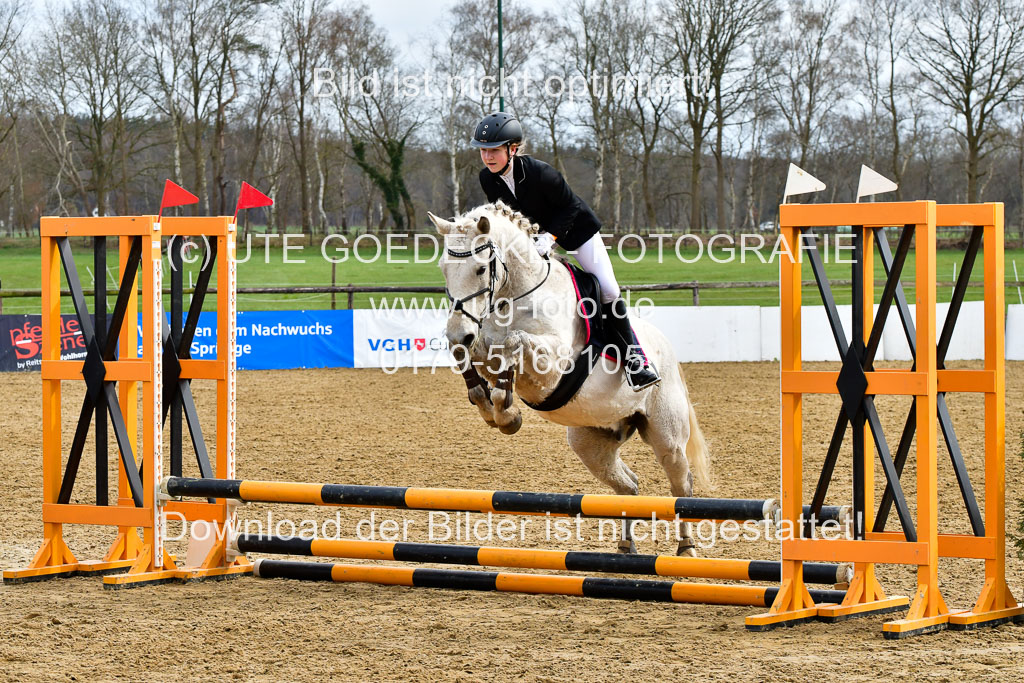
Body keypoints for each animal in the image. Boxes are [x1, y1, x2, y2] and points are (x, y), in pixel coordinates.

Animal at [425, 201, 712, 557]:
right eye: (444, 269)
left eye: (480, 270)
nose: (457, 332)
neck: (514, 295)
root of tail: (668, 351)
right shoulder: (480, 341)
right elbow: (474, 355)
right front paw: (490, 403)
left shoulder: (554, 363)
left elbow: (514, 343)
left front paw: (506, 413)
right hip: (591, 441)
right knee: (629, 485)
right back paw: (626, 546)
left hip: (667, 436)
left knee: (681, 483)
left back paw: (686, 548)